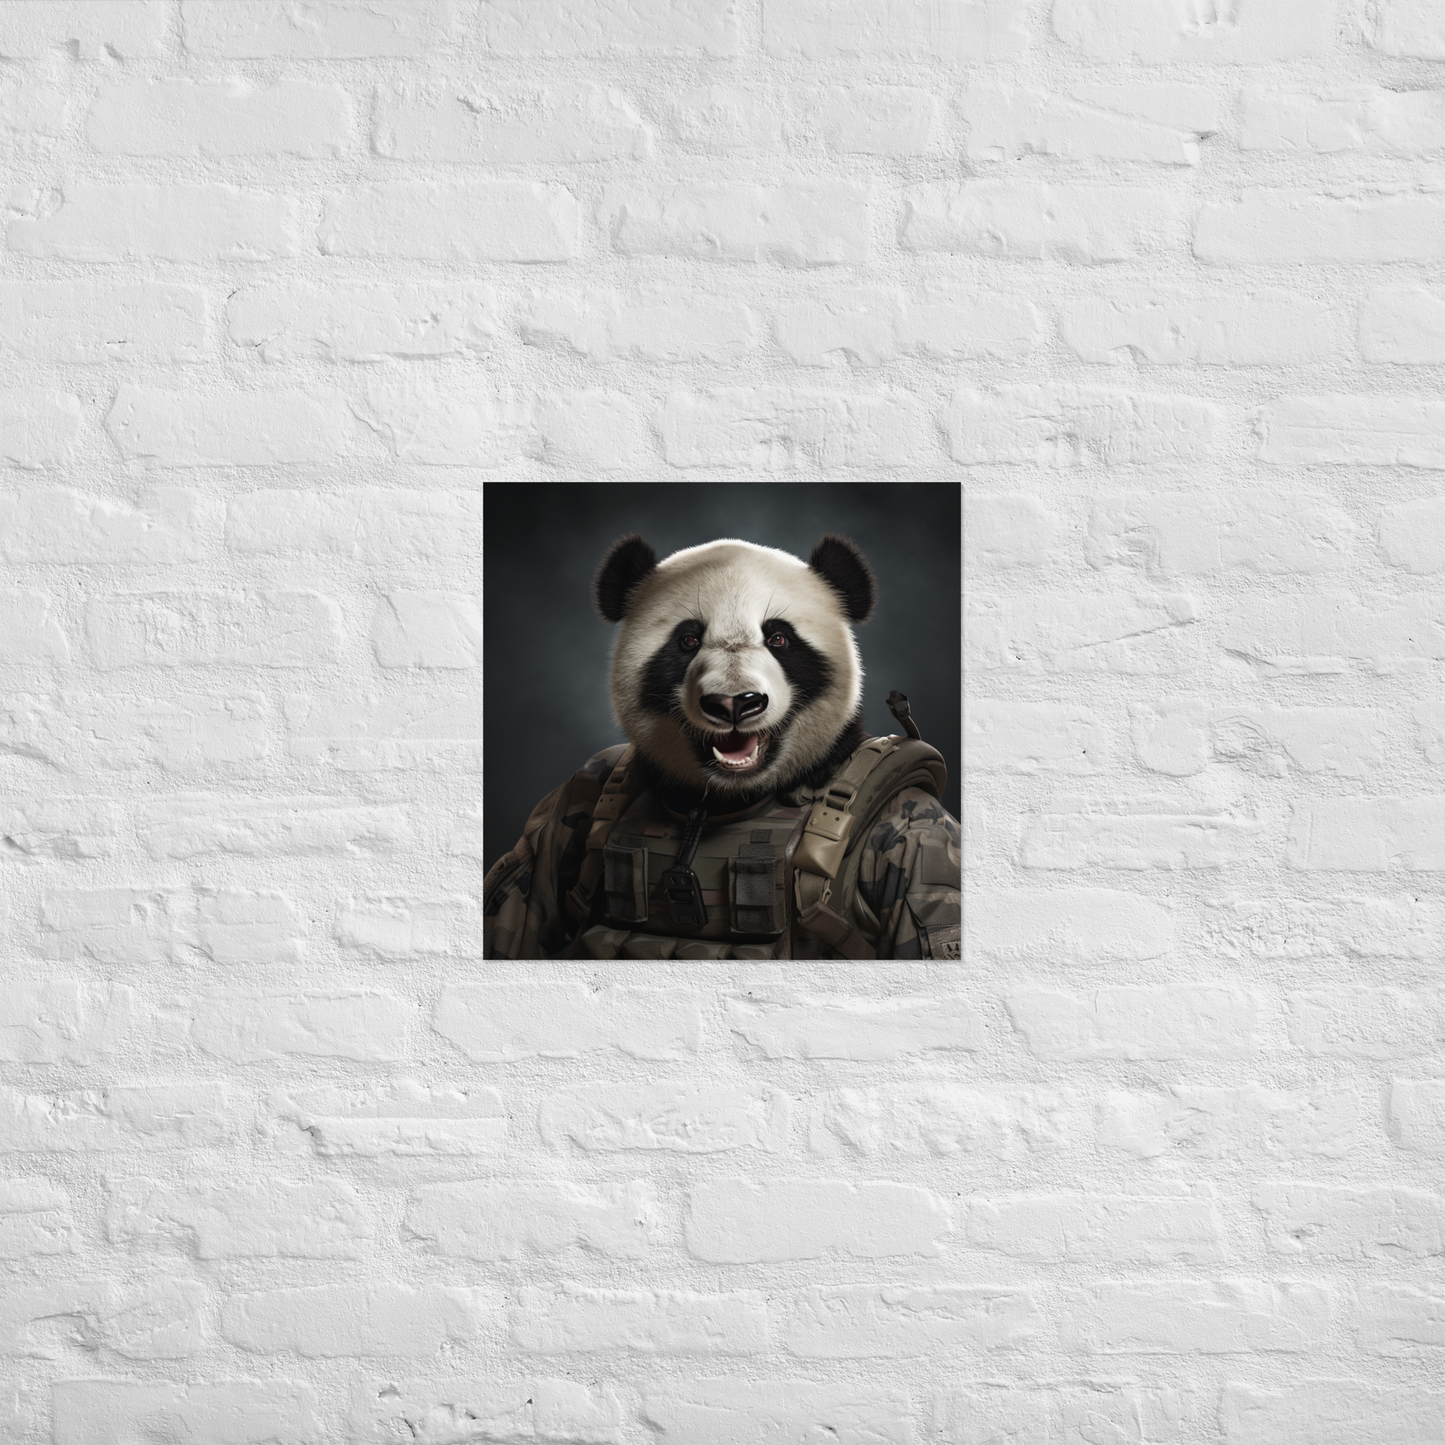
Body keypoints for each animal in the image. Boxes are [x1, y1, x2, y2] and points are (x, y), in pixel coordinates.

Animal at [483, 532, 960, 960]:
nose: (734, 703)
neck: (720, 800)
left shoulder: (914, 834)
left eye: (779, 638)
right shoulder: (580, 789)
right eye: (688, 639)